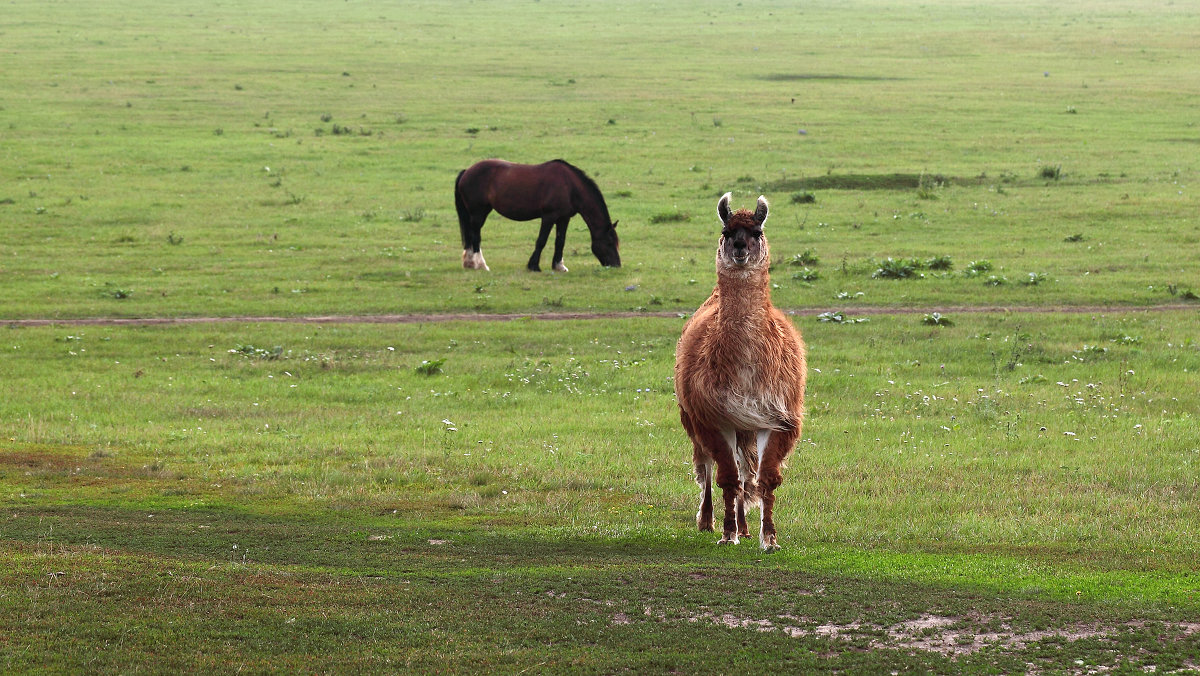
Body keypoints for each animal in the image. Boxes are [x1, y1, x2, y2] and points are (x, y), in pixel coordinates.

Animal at [453, 159, 624, 272]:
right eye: (609, 243)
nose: (616, 265)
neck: (569, 187)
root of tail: (467, 171)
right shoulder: (548, 217)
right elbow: (541, 240)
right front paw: (534, 265)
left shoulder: (564, 218)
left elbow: (560, 241)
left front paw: (559, 265)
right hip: (478, 213)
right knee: (475, 237)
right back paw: (480, 264)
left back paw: (469, 263)